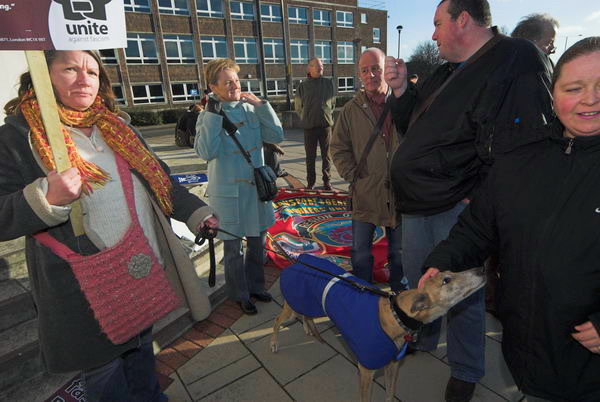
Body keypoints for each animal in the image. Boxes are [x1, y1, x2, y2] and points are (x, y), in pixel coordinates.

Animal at [270, 256, 486, 400]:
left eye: (451, 271)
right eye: (446, 280)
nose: (481, 269)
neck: (396, 314)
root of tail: (297, 260)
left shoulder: (392, 366)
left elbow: (390, 394)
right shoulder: (366, 371)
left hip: (308, 303)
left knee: (305, 315)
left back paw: (308, 329)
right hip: (291, 307)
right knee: (277, 320)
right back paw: (273, 344)